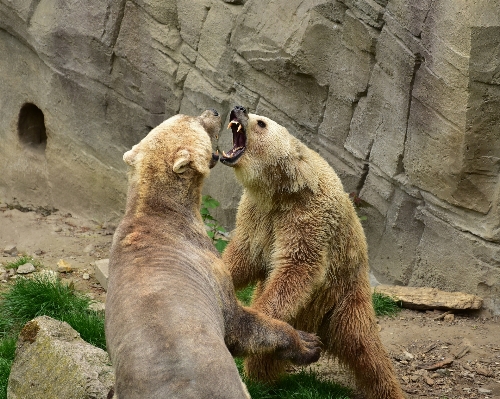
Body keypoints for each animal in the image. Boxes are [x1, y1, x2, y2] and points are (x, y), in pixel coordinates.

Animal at [106, 109, 322, 399]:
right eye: (195, 120)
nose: (215, 112)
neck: (156, 214)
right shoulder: (206, 267)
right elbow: (240, 326)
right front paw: (308, 342)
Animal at [220, 104, 406, 398]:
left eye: (261, 122)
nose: (238, 108)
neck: (281, 191)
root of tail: (319, 325)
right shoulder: (257, 214)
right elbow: (244, 255)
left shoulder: (308, 217)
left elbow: (297, 267)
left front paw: (257, 312)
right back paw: (264, 378)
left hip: (344, 298)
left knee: (366, 351)